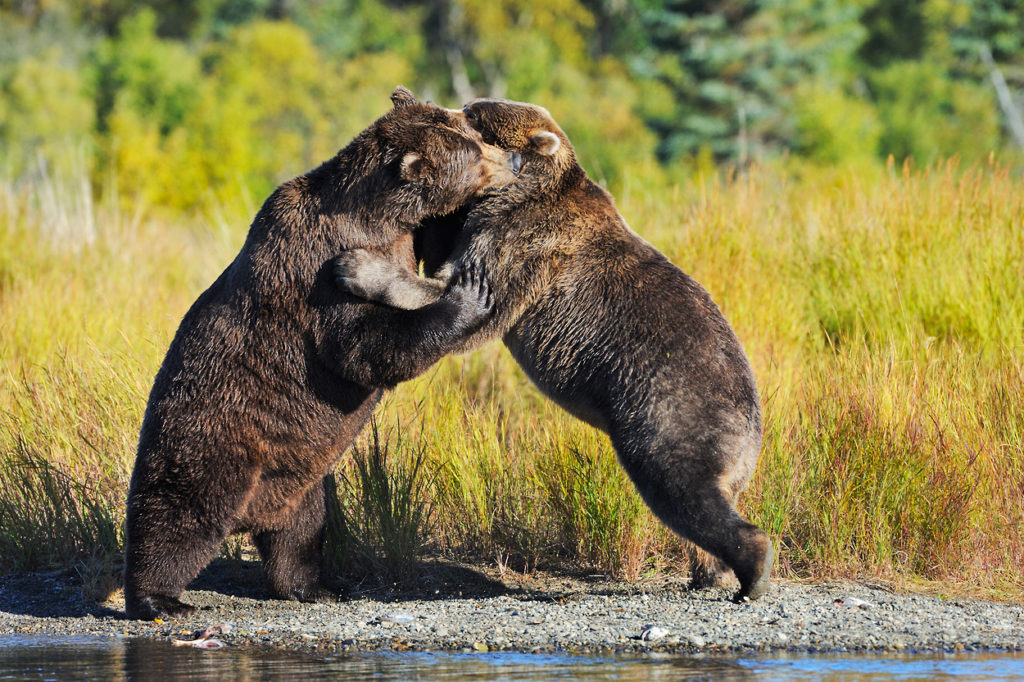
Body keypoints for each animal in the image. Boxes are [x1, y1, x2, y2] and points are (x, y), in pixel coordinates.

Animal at [122, 87, 516, 618]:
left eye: (473, 135)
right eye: (474, 154)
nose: (512, 161)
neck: (380, 219)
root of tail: (250, 514)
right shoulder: (315, 268)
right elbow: (364, 348)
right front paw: (467, 297)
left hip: (298, 480)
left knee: (301, 534)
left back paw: (316, 586)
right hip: (210, 438)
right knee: (177, 516)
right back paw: (160, 598)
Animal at [335, 96, 774, 602]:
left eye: (476, 115)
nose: (456, 107)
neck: (523, 189)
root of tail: (754, 430)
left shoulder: (521, 243)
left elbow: (466, 296)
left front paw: (356, 265)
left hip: (673, 413)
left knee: (683, 491)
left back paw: (752, 570)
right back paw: (709, 572)